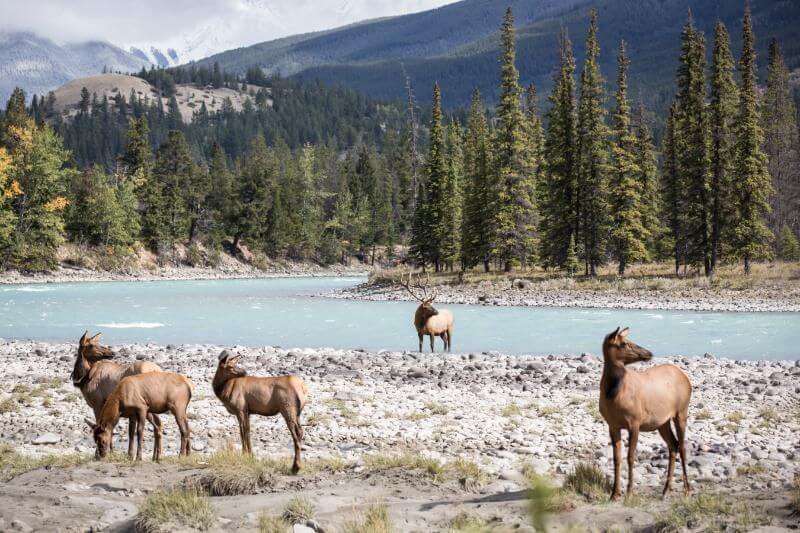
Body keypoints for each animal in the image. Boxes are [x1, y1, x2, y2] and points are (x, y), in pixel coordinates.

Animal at [70, 328, 162, 458]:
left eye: (95, 343)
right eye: (91, 344)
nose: (111, 353)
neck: (84, 377)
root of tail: (156, 369)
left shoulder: (98, 404)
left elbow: (103, 426)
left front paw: (101, 452)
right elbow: (126, 431)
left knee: (157, 424)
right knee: (158, 424)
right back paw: (156, 456)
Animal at [596, 324, 692, 498]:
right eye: (624, 343)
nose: (649, 353)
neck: (612, 394)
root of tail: (686, 378)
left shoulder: (635, 422)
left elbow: (630, 456)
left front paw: (629, 491)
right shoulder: (612, 425)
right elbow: (617, 458)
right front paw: (614, 493)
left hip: (681, 412)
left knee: (682, 446)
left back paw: (687, 489)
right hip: (662, 422)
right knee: (673, 445)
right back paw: (666, 490)